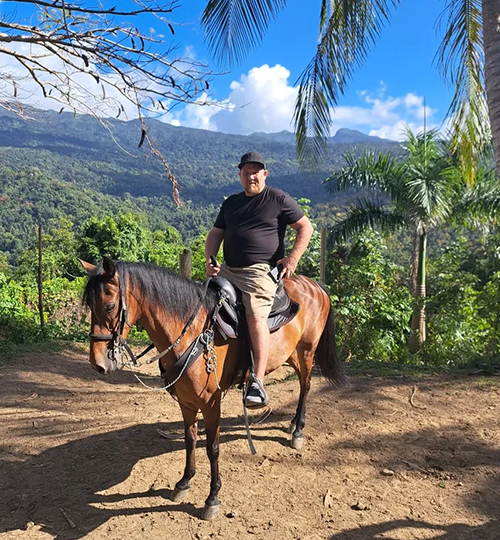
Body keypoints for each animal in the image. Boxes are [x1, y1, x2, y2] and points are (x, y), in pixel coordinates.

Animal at [82, 260, 346, 520]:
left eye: (109, 306)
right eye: (89, 306)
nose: (98, 363)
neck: (193, 333)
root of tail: (315, 285)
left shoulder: (211, 404)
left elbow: (213, 448)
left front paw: (212, 498)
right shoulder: (186, 403)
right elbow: (190, 440)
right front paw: (184, 482)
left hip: (307, 351)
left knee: (305, 385)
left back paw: (298, 430)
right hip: (290, 354)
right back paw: (292, 424)